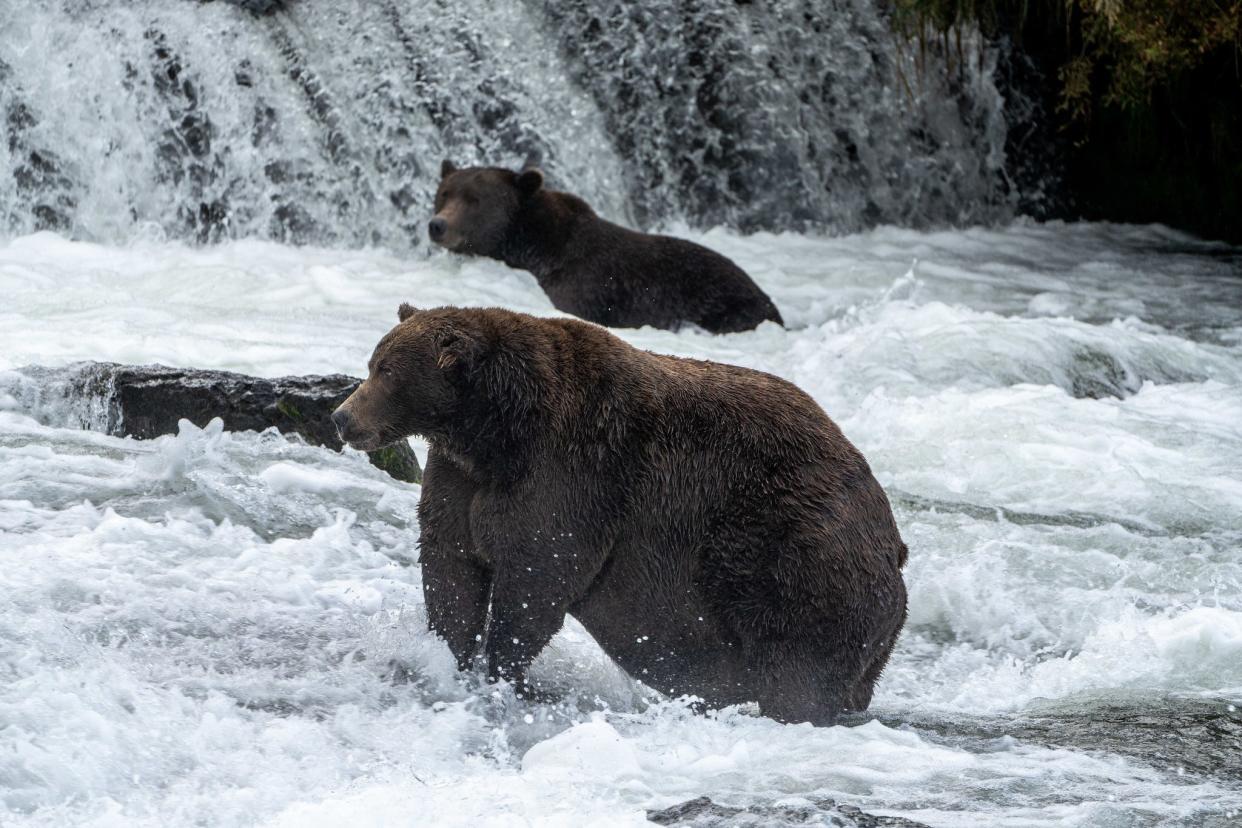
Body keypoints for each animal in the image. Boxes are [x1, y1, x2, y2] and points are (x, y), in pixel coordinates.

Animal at [335, 304, 909, 724]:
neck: (495, 432)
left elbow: (538, 574)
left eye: (385, 370)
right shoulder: (460, 478)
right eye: (372, 364)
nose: (342, 417)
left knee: (797, 665)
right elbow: (451, 566)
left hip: (794, 552)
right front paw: (446, 656)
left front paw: (501, 669)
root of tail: (894, 540)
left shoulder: (573, 472)